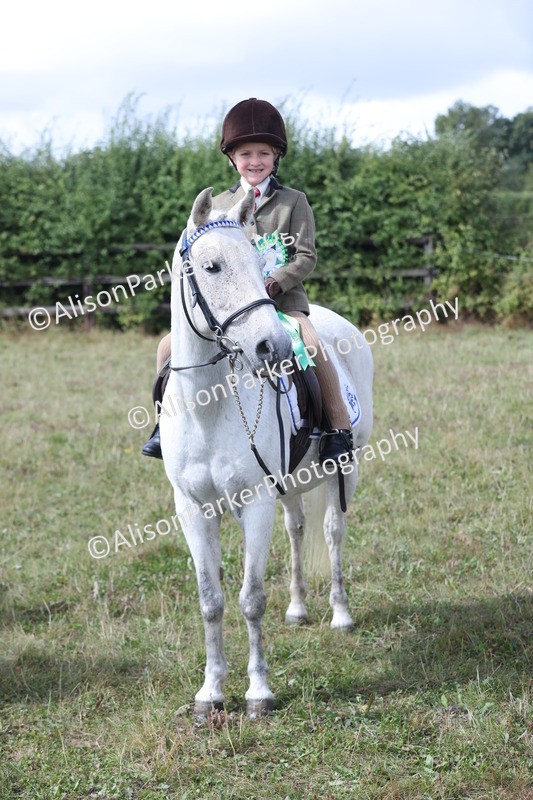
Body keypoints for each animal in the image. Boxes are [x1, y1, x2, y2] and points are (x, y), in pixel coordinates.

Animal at [160, 187, 373, 718]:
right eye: (212, 266)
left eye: (260, 267)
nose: (271, 347)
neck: (208, 407)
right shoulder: (193, 509)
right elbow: (211, 599)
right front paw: (211, 692)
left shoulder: (254, 503)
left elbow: (251, 598)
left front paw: (258, 691)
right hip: (290, 483)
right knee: (297, 528)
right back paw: (297, 608)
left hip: (346, 468)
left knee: (332, 532)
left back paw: (340, 614)